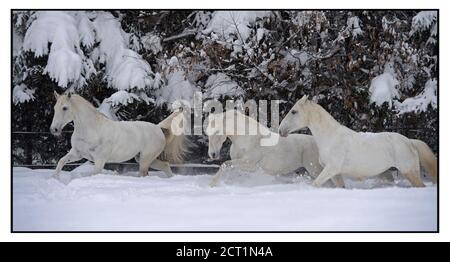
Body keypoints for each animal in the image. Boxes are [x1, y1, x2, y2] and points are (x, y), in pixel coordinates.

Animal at [51, 91, 188, 178]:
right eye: (54, 108)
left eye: (65, 108)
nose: (54, 129)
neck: (92, 129)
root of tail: (158, 128)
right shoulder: (77, 153)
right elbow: (61, 161)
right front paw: (55, 178)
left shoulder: (99, 160)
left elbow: (94, 174)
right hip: (145, 158)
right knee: (165, 166)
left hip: (145, 159)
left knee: (145, 173)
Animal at [205, 109, 344, 187]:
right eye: (207, 133)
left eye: (217, 132)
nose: (212, 154)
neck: (245, 138)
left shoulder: (250, 164)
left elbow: (225, 164)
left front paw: (212, 184)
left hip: (316, 169)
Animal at [280, 95, 438, 187]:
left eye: (294, 111)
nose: (281, 130)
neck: (331, 138)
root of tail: (410, 141)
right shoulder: (335, 174)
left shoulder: (332, 168)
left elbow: (315, 184)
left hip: (409, 172)